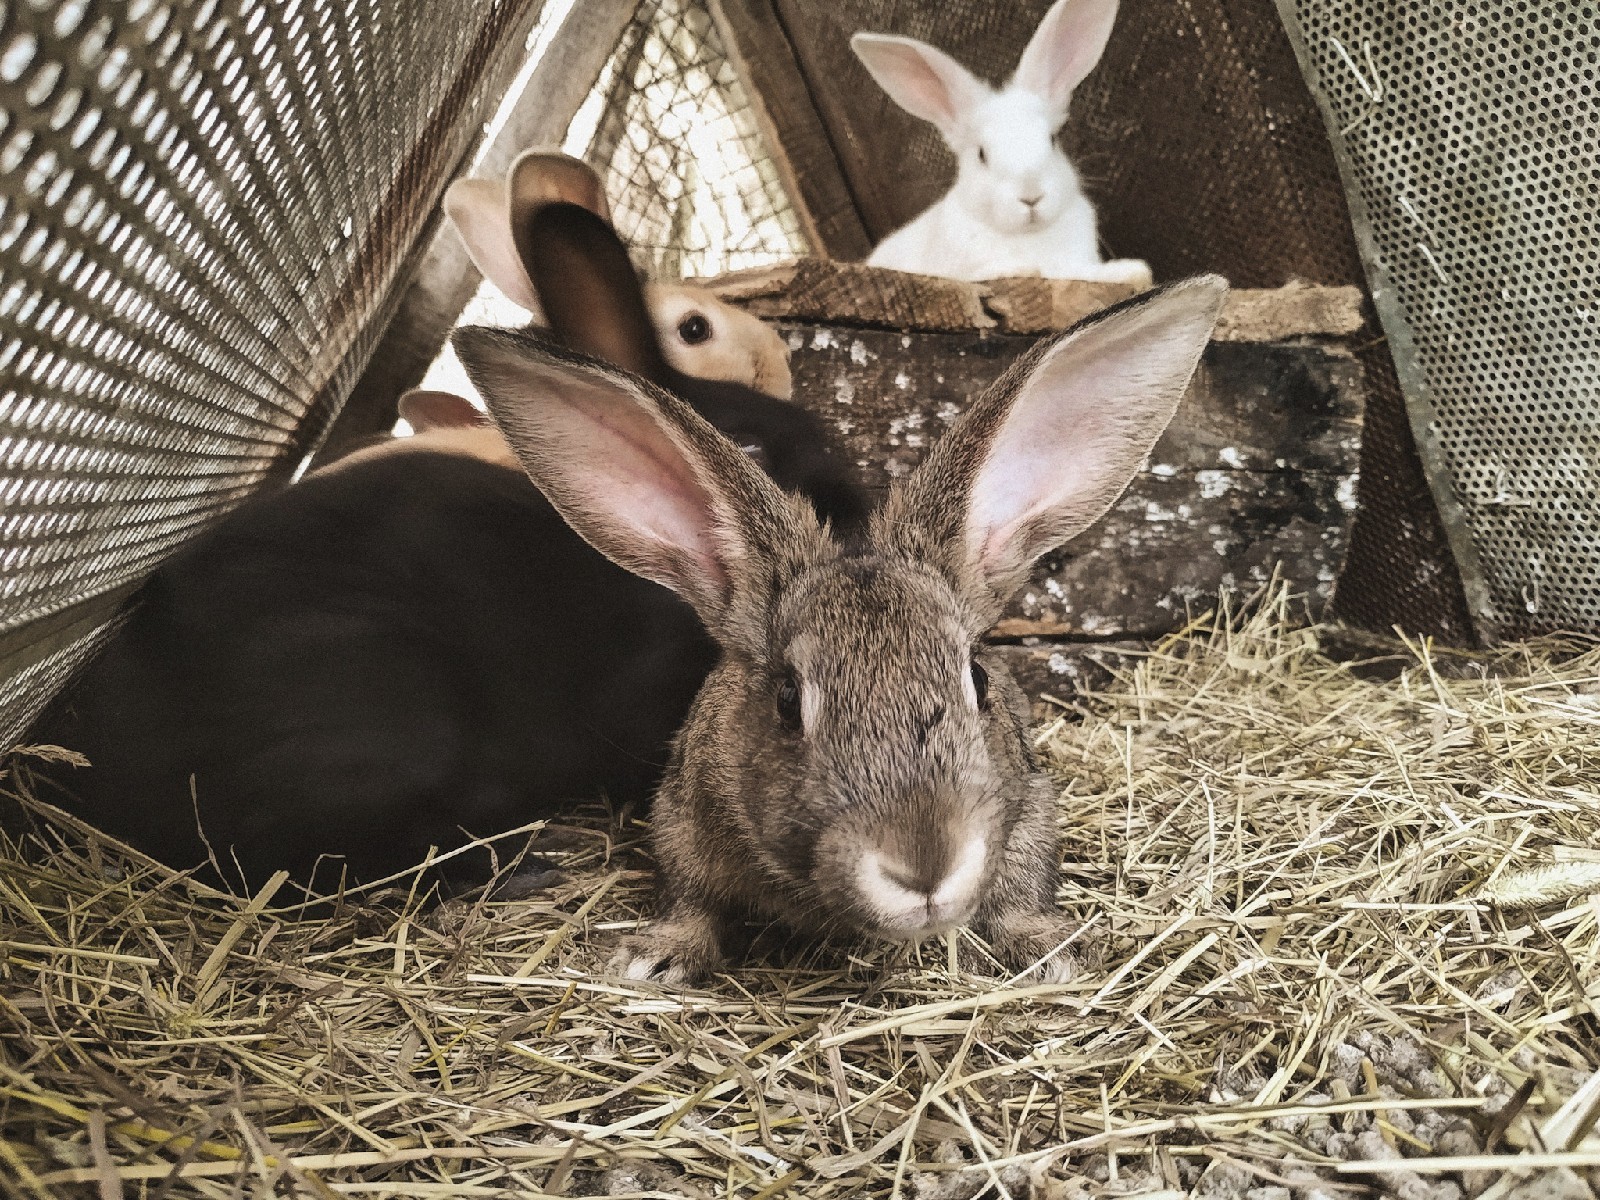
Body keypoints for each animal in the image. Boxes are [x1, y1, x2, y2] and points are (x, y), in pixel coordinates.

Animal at [851, 0, 1152, 289]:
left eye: (1052, 140)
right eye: (982, 154)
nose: (1031, 197)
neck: (1028, 236)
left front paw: (1134, 272)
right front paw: (1021, 269)